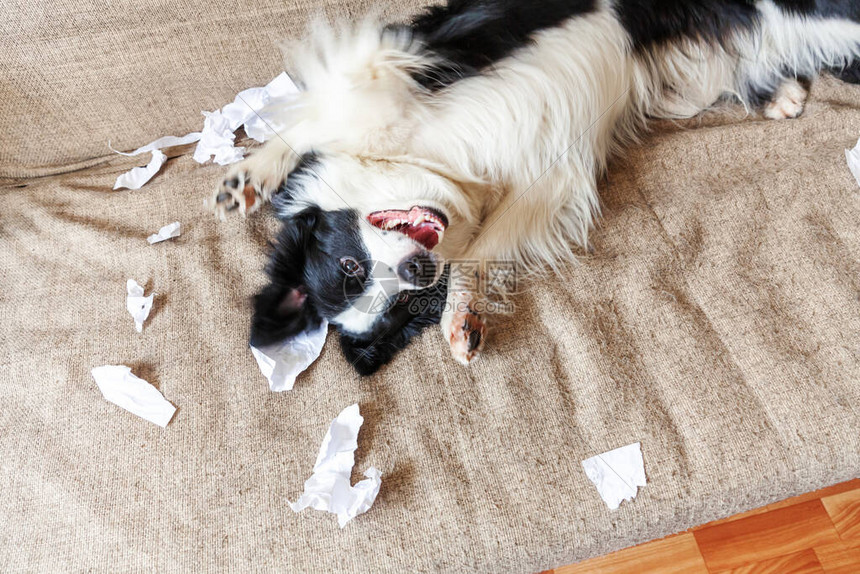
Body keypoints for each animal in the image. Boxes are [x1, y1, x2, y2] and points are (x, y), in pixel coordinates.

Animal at [210, 0, 860, 376]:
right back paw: (779, 93)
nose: (420, 271)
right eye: (397, 306)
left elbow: (320, 114)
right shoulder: (544, 185)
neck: (431, 163)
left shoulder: (406, 58)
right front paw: (462, 317)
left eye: (349, 265)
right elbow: (480, 251)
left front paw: (250, 175)